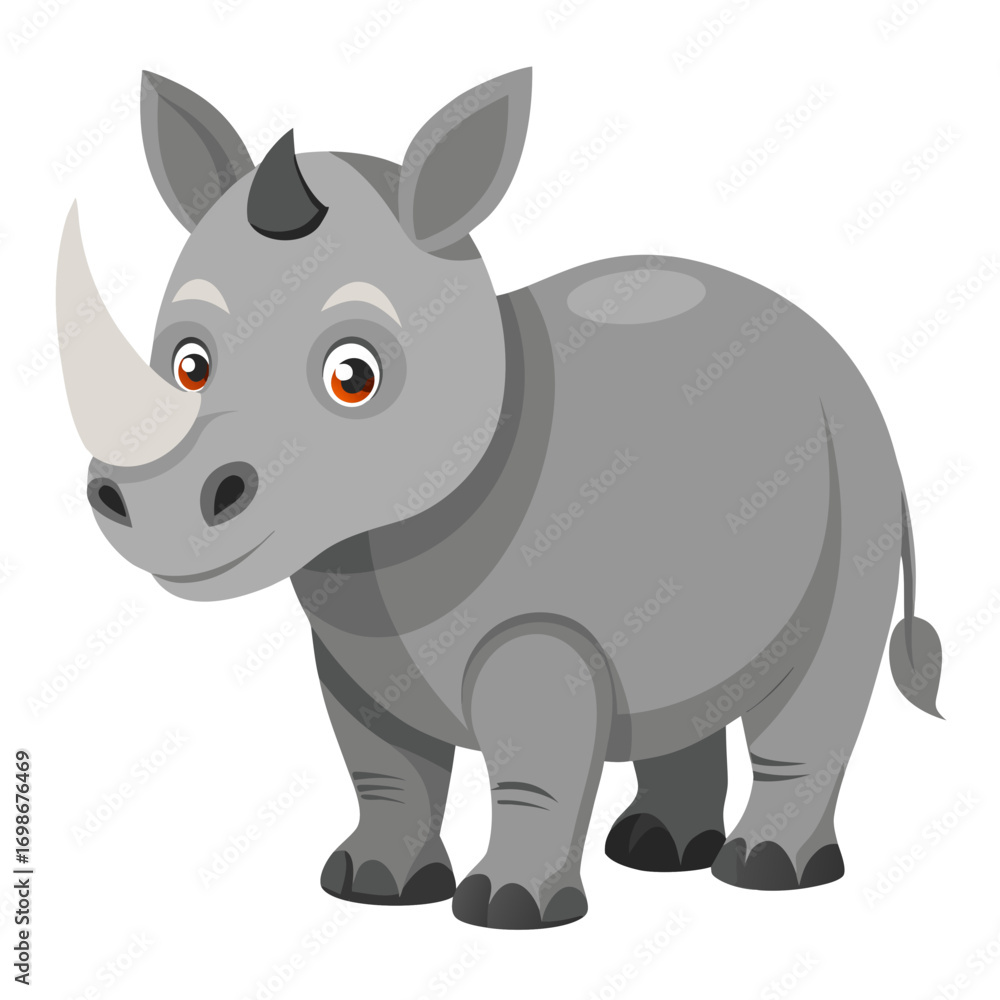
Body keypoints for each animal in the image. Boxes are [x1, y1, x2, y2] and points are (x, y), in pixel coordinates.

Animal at [57, 69, 944, 929]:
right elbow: (383, 768)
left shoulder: (540, 633)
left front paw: (509, 908)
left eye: (355, 376)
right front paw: (374, 885)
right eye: (188, 364)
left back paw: (766, 870)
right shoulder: (353, 652)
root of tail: (839, 357)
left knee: (818, 682)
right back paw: (660, 851)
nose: (145, 494)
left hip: (858, 471)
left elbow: (534, 769)